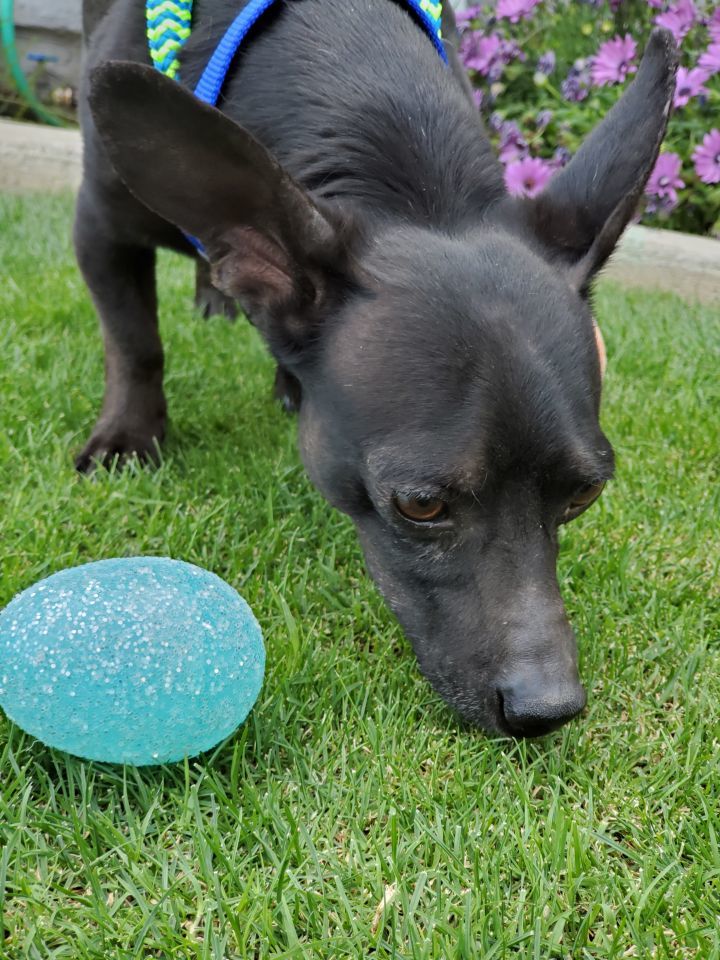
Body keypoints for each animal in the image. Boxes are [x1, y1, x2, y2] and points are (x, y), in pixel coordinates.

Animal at [71, 0, 676, 736]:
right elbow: (135, 342)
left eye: (584, 495)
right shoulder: (98, 225)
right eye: (420, 505)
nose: (548, 708)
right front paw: (129, 438)